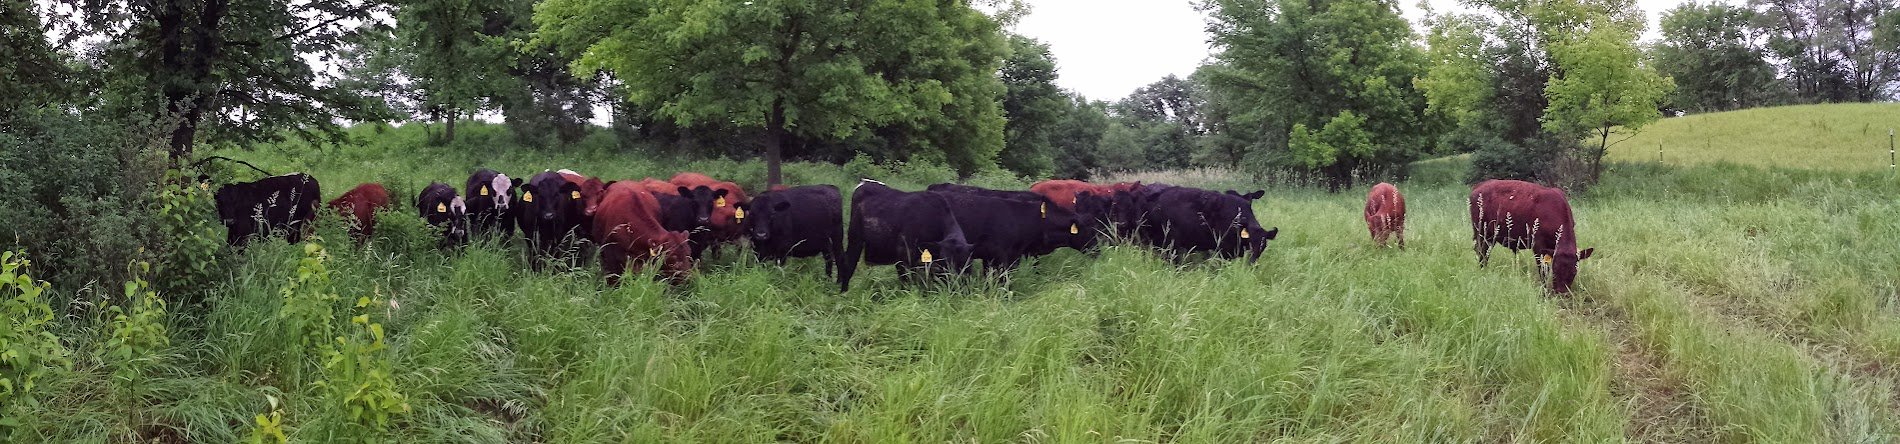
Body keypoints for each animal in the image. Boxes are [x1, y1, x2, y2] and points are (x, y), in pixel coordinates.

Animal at [838, 180, 975, 292]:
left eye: (966, 264)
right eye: (945, 262)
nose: (956, 286)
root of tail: (865, 183)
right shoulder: (903, 253)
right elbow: (907, 282)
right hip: (855, 237)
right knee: (849, 264)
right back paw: (844, 292)